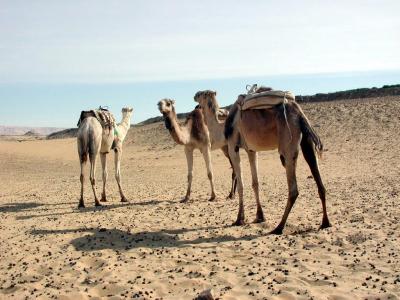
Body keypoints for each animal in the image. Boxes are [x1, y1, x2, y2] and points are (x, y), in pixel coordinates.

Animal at [225, 86, 332, 234]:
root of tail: (298, 113)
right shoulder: (251, 150)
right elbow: (255, 183)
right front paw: (260, 216)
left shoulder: (232, 146)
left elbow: (241, 185)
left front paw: (239, 219)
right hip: (306, 143)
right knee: (320, 184)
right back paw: (325, 223)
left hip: (287, 145)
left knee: (293, 190)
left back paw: (279, 227)